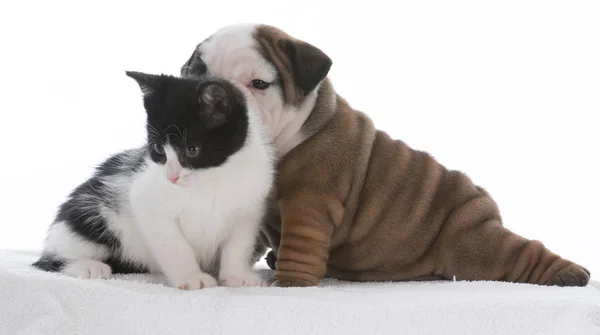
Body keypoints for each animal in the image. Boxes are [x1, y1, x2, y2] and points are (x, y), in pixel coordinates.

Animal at [31, 72, 276, 290]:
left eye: (192, 150)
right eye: (159, 149)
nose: (171, 176)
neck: (211, 177)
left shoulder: (249, 208)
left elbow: (238, 244)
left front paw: (237, 276)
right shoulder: (147, 200)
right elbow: (174, 244)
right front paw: (191, 277)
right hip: (90, 214)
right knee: (47, 261)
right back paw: (87, 266)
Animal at [179, 23, 592, 288]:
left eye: (259, 84)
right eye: (193, 74)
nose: (216, 93)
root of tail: (484, 205)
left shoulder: (309, 203)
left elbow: (300, 247)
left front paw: (289, 282)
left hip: (472, 241)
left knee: (515, 255)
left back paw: (569, 274)